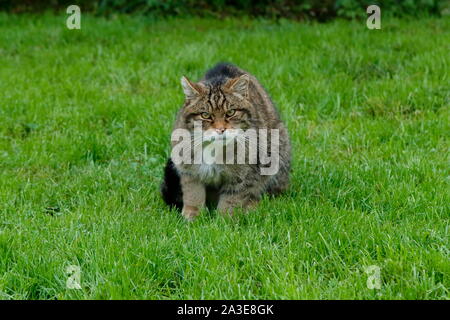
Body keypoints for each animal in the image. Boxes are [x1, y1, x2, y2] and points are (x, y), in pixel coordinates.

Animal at [160, 63, 290, 221]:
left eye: (230, 113)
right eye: (205, 115)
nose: (221, 129)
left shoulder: (243, 177)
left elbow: (231, 199)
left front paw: (224, 220)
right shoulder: (189, 171)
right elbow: (193, 194)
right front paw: (192, 216)